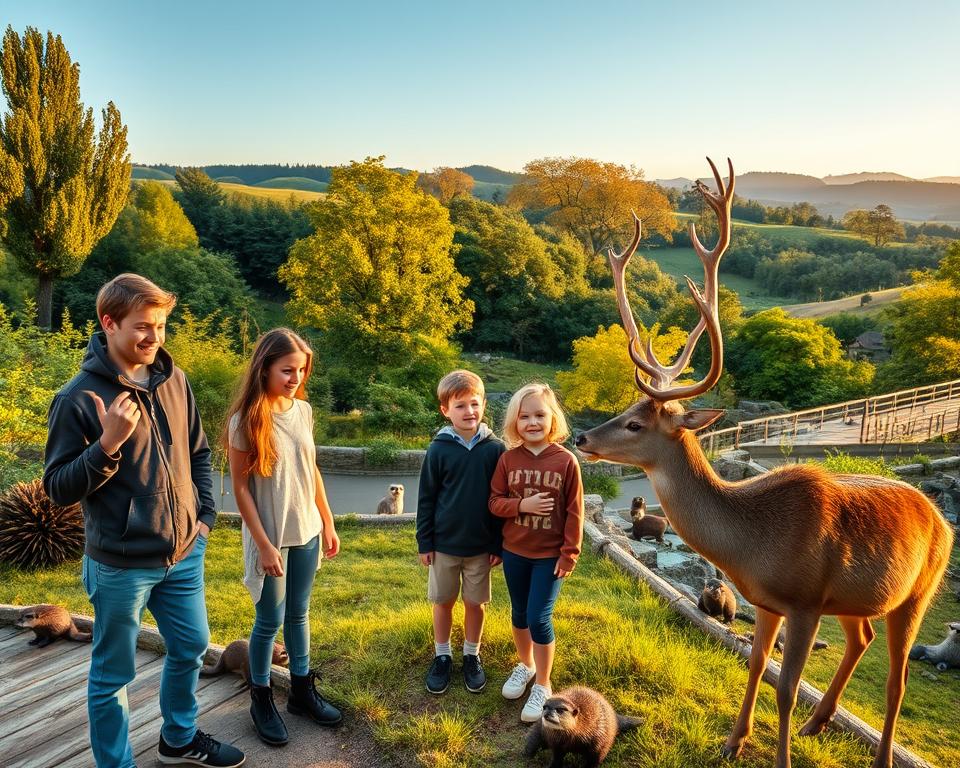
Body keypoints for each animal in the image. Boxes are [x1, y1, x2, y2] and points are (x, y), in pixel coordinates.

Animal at [573, 158, 954, 768]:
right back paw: (819, 724)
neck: (752, 548)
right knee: (862, 639)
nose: (582, 434)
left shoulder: (803, 600)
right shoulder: (769, 600)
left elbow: (788, 687)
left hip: (918, 591)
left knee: (897, 679)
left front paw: (775, 754)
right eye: (627, 407)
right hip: (856, 599)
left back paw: (876, 751)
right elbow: (755, 665)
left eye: (637, 424)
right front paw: (733, 741)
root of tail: (941, 519)